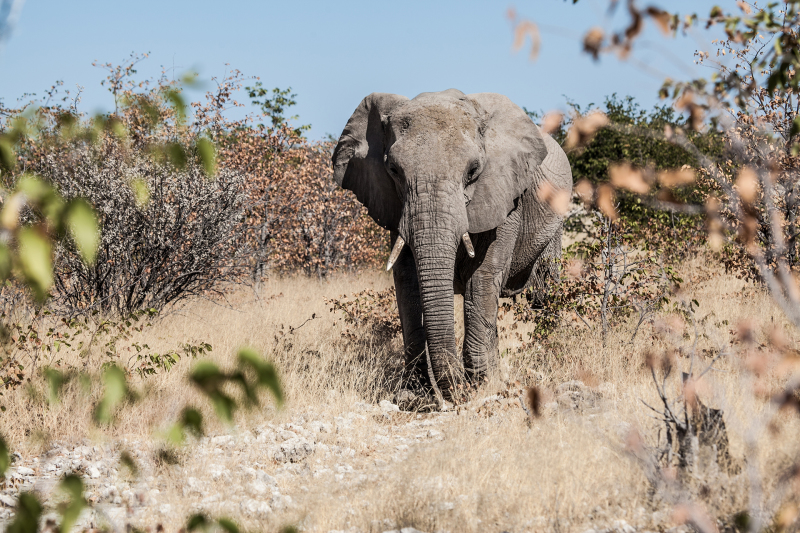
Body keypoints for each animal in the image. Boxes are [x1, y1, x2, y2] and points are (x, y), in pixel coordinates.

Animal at [332, 88, 576, 404]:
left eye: (473, 171)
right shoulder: (395, 206)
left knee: (544, 295)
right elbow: (406, 283)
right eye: (393, 170)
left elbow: (482, 278)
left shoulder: (505, 198)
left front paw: (481, 387)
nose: (455, 392)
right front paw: (412, 395)